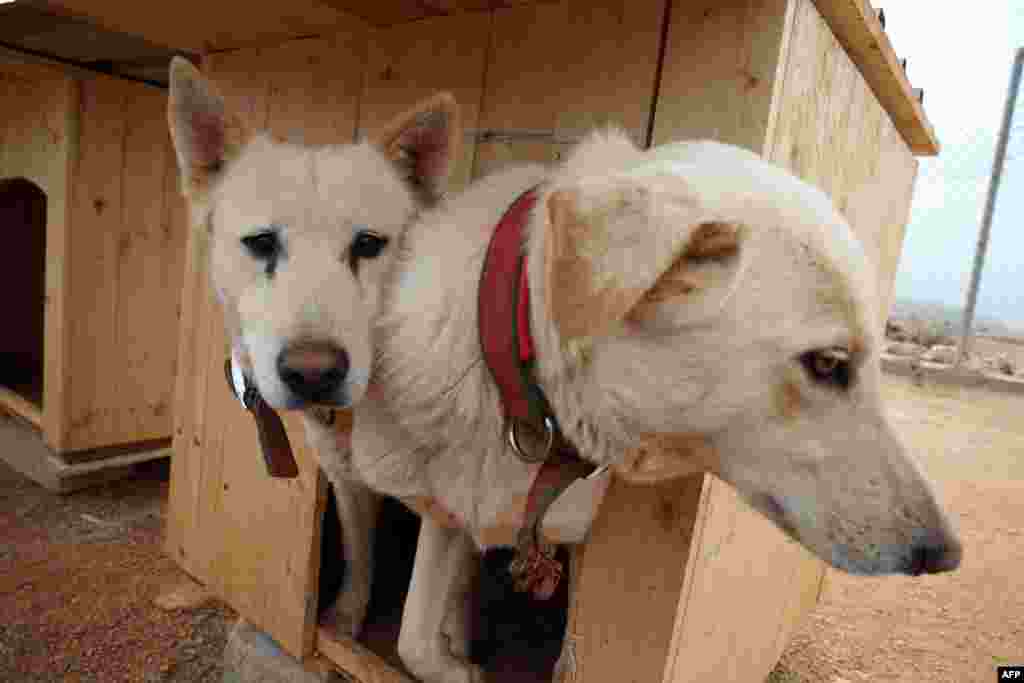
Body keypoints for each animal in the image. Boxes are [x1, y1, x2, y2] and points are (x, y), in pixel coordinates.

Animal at [166, 58, 460, 643]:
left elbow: (443, 604)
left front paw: (456, 645)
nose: (313, 373)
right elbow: (360, 556)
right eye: (261, 243)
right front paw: (345, 622)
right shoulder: (348, 483)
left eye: (368, 245)